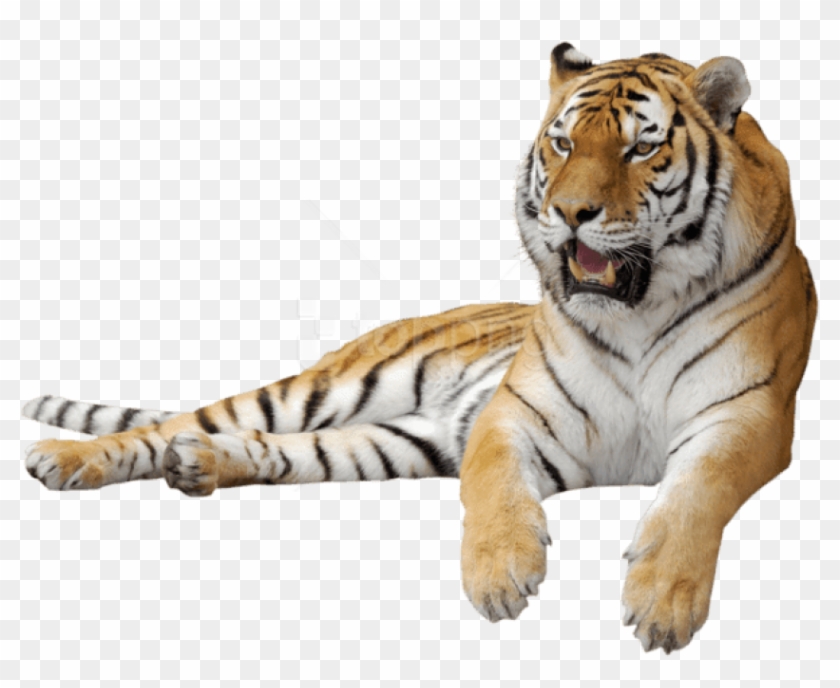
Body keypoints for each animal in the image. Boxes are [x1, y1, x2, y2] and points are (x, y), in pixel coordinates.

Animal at [22, 44, 817, 654]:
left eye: (641, 146)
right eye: (563, 143)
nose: (569, 213)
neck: (639, 313)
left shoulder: (747, 415)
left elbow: (694, 495)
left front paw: (662, 602)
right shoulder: (513, 413)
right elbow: (493, 487)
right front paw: (499, 574)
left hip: (398, 438)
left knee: (270, 449)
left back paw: (200, 466)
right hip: (327, 389)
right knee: (180, 423)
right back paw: (63, 458)